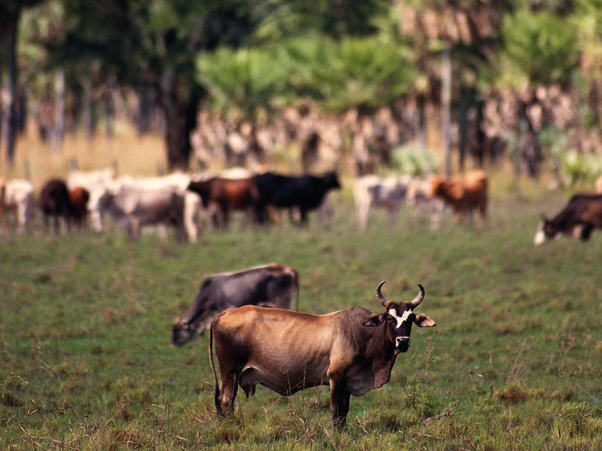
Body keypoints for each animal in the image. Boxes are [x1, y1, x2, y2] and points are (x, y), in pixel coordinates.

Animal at [209, 280, 434, 430]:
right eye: (390, 318)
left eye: (410, 318)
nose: (402, 341)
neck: (360, 334)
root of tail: (225, 313)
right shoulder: (336, 378)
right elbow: (335, 410)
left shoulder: (348, 381)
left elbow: (344, 411)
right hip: (230, 373)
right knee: (226, 401)